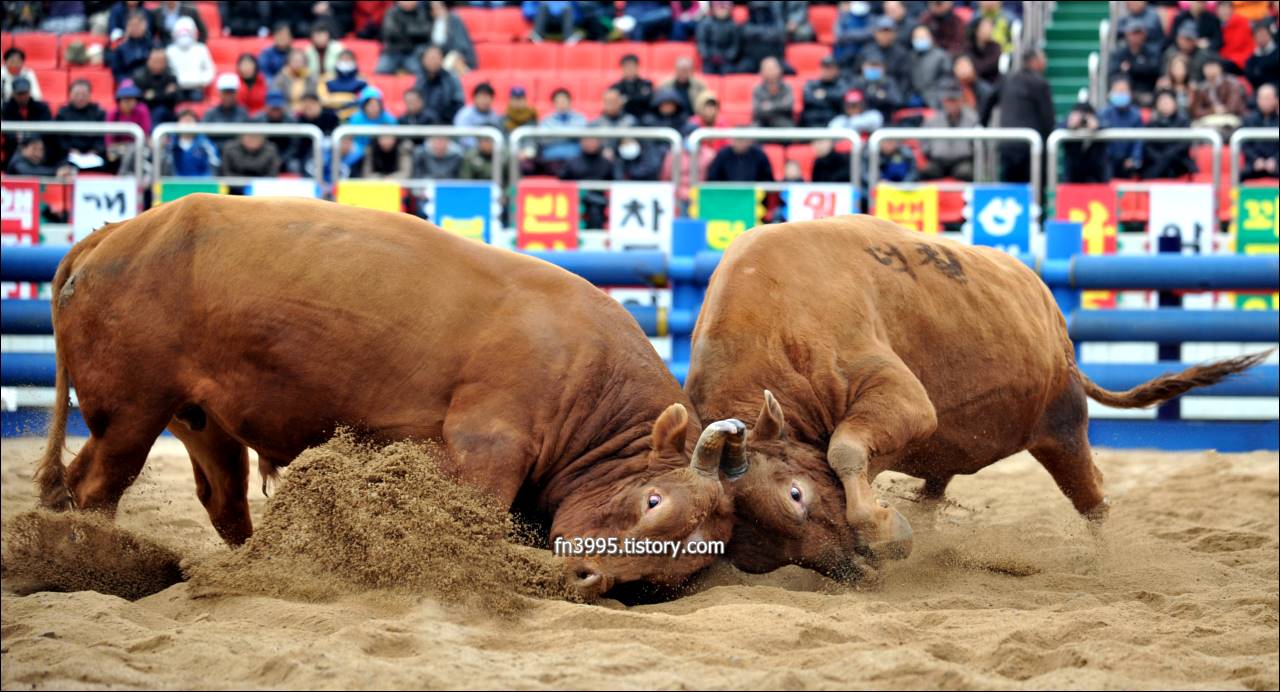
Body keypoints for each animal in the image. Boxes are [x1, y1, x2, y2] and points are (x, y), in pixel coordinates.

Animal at [35, 193, 737, 593]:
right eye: (653, 501)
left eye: (679, 566)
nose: (592, 580)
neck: (585, 374)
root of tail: (113, 234)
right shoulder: (488, 444)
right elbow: (476, 518)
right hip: (129, 411)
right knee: (94, 486)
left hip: (200, 419)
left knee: (221, 500)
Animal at [686, 216, 1264, 578]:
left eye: (796, 495)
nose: (852, 570)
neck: (775, 321)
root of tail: (1057, 326)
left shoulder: (900, 400)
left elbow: (844, 450)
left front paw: (886, 530)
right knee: (936, 492)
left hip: (1063, 430)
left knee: (1094, 500)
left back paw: (1107, 562)